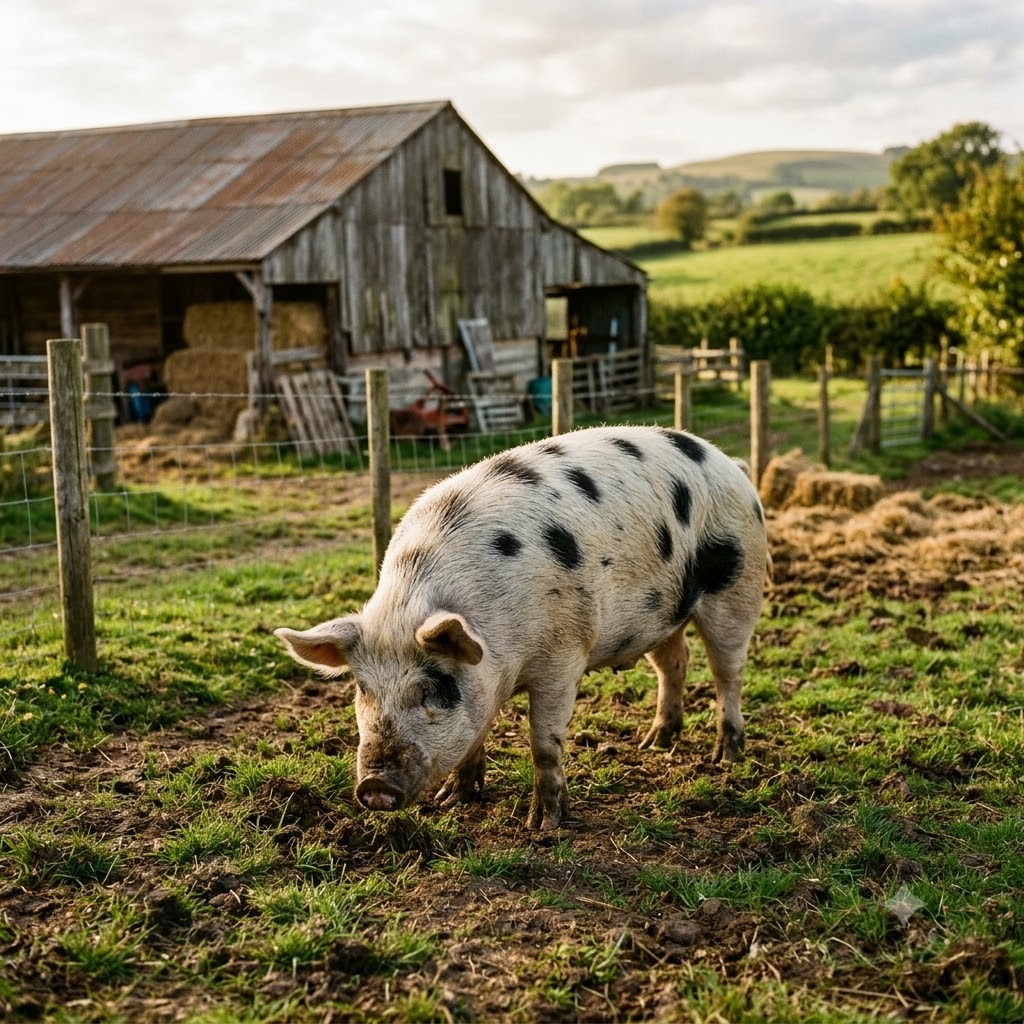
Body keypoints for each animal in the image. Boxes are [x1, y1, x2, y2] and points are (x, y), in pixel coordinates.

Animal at [275, 425, 769, 830]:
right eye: (362, 689)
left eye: (433, 687)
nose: (374, 787)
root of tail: (732, 465)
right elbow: (476, 733)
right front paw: (451, 800)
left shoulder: (565, 654)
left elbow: (543, 741)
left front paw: (543, 825)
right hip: (658, 616)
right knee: (674, 662)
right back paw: (654, 743)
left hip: (738, 586)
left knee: (728, 671)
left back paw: (725, 756)